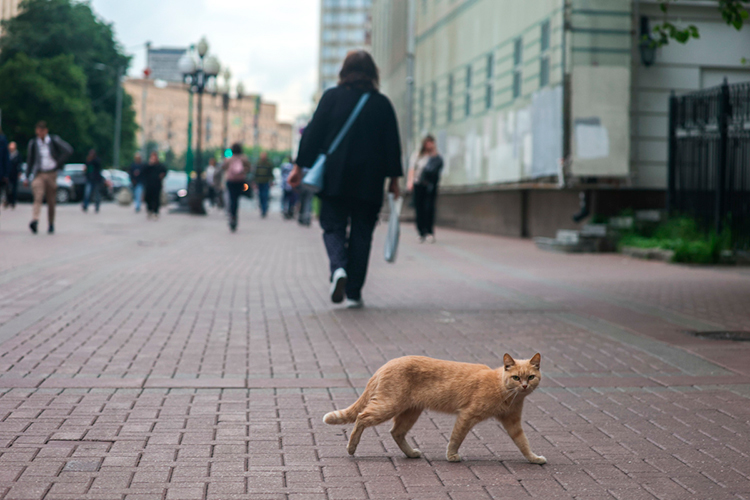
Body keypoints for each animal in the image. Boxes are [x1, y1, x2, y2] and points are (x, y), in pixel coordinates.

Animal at [324, 352, 548, 464]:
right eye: (516, 377)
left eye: (531, 377)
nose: (524, 386)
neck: (505, 391)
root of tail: (387, 364)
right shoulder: (467, 415)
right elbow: (456, 438)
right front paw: (451, 456)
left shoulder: (513, 422)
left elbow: (523, 443)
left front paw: (533, 459)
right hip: (388, 406)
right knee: (361, 417)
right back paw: (351, 448)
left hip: (410, 412)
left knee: (396, 432)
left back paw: (411, 454)